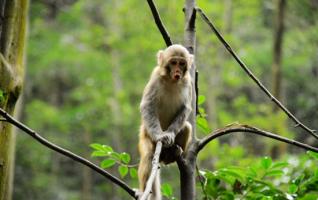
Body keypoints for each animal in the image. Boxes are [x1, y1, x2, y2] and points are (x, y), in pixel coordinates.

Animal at [137, 44, 193, 199]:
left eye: (182, 63)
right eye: (173, 62)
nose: (177, 71)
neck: (171, 81)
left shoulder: (188, 81)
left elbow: (186, 108)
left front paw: (169, 135)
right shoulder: (155, 76)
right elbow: (147, 105)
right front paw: (160, 135)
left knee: (187, 126)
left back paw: (174, 152)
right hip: (145, 134)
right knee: (148, 156)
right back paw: (143, 191)